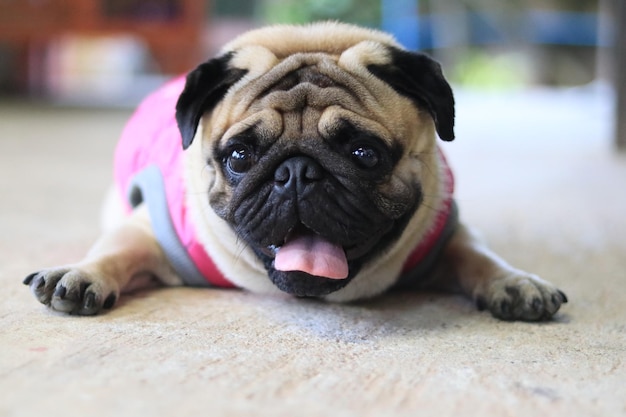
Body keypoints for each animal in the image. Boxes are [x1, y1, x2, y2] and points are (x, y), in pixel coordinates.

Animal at [22, 22, 564, 318]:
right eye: (240, 157)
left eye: (364, 154)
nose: (298, 173)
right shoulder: (149, 230)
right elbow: (115, 249)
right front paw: (83, 273)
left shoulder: (445, 232)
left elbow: (479, 256)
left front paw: (515, 282)